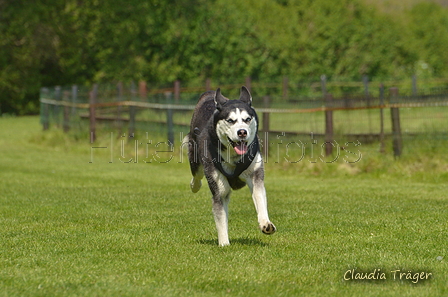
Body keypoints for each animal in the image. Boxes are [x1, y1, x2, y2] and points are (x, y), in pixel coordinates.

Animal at [184, 85, 274, 245]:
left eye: (247, 119)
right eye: (230, 120)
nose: (242, 132)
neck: (233, 156)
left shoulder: (255, 174)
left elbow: (260, 198)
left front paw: (265, 223)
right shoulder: (219, 188)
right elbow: (220, 216)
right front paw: (224, 243)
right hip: (196, 159)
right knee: (197, 176)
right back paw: (194, 186)